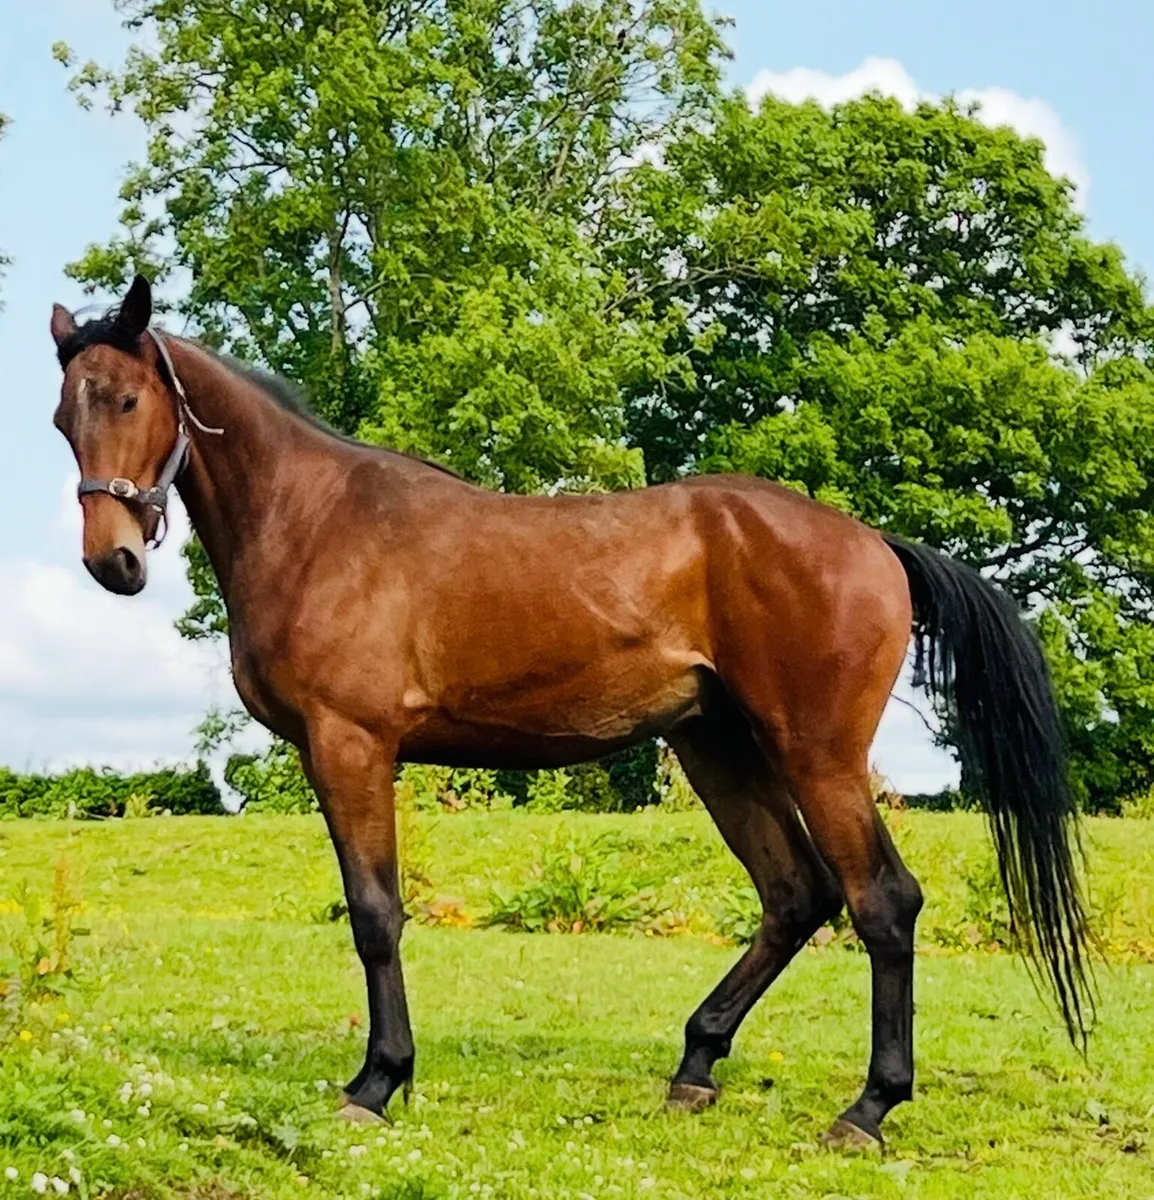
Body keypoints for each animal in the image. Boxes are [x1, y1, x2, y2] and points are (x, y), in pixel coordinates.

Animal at [49, 275, 1091, 1148]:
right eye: (64, 418)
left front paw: (378, 1082)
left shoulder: (352, 747)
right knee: (796, 894)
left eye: (131, 401)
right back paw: (696, 1064)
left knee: (882, 902)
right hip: (716, 749)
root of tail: (873, 542)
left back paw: (869, 1107)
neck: (316, 521)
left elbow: (376, 914)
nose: (113, 563)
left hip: (816, 755)